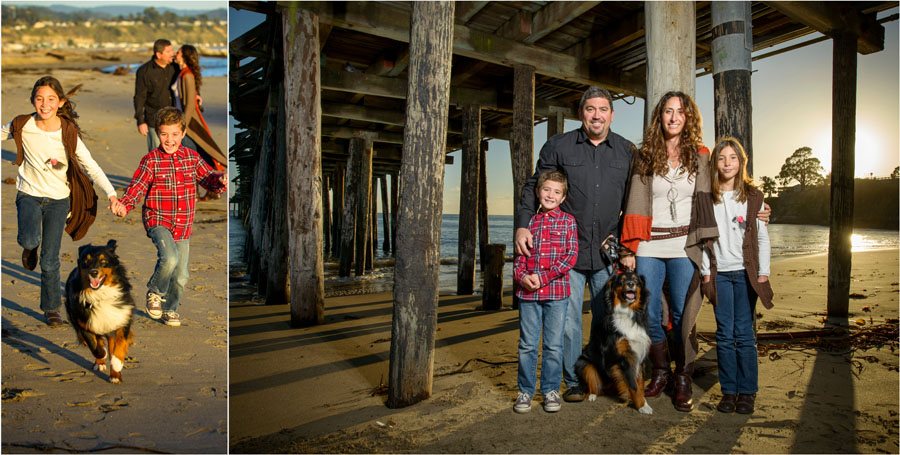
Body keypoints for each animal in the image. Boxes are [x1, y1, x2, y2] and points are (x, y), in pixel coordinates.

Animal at [63, 240, 134, 382]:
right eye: (86, 261)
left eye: (103, 261)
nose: (93, 272)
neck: (100, 295)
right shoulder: (84, 324)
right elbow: (96, 347)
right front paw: (102, 357)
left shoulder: (121, 318)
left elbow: (120, 344)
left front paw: (117, 364)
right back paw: (100, 363)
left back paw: (115, 375)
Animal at [576, 270, 652, 416]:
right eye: (622, 281)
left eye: (636, 281)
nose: (631, 284)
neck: (627, 313)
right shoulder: (623, 359)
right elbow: (633, 385)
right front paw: (641, 406)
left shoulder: (639, 354)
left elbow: (639, 383)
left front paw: (643, 402)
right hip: (584, 364)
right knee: (594, 386)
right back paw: (592, 395)